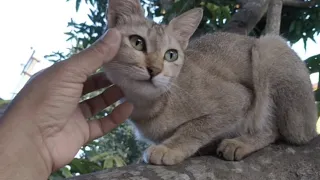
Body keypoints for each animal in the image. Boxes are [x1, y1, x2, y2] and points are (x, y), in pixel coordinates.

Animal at [102, 0, 318, 165]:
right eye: (137, 42)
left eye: (171, 55)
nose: (154, 70)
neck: (149, 106)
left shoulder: (238, 98)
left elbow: (196, 127)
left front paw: (170, 148)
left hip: (269, 50)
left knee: (273, 130)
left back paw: (240, 143)